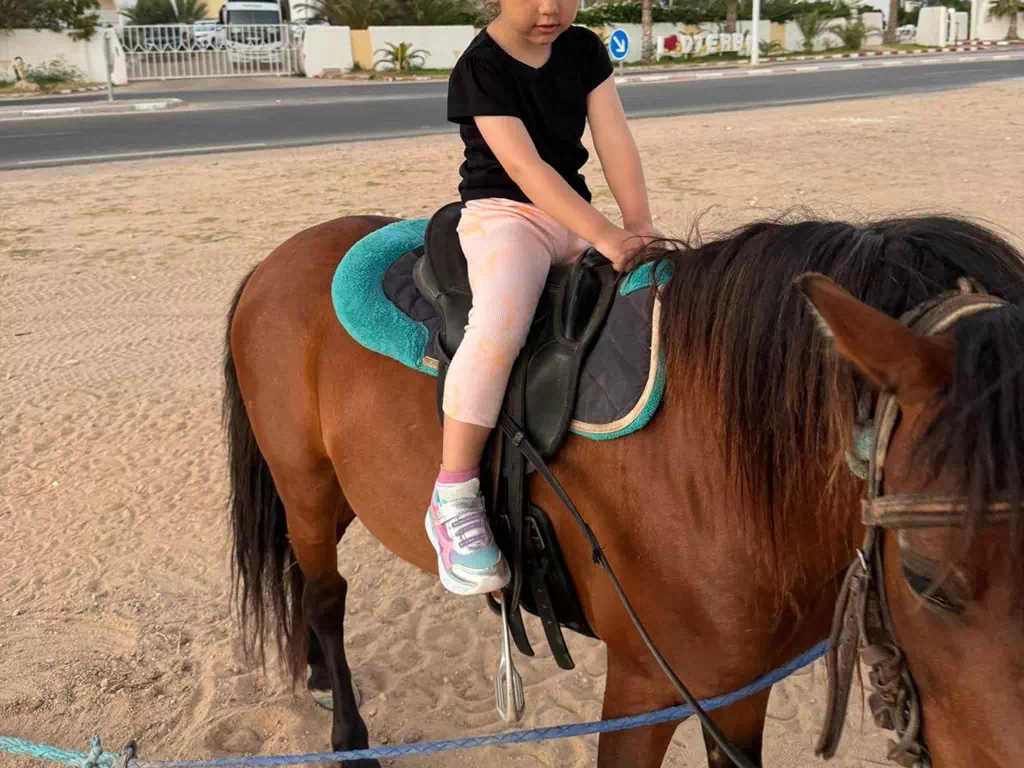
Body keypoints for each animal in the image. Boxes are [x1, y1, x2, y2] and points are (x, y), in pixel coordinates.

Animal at [224, 211, 1024, 768]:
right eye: (922, 577)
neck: (715, 457)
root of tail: (279, 258)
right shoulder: (644, 689)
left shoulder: (736, 693)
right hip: (306, 483)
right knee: (326, 595)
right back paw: (348, 732)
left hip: (336, 496)